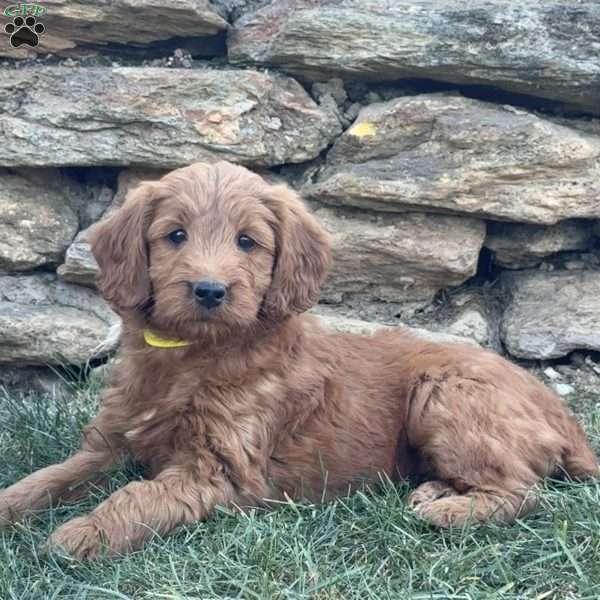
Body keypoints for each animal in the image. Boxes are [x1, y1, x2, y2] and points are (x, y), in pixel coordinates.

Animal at [1, 162, 596, 560]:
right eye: (175, 235)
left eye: (247, 242)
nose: (210, 290)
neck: (192, 357)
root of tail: (565, 418)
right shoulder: (108, 445)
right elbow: (47, 478)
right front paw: (10, 508)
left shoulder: (216, 472)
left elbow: (138, 496)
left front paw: (83, 534)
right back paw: (436, 490)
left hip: (445, 393)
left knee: (525, 491)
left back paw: (450, 510)